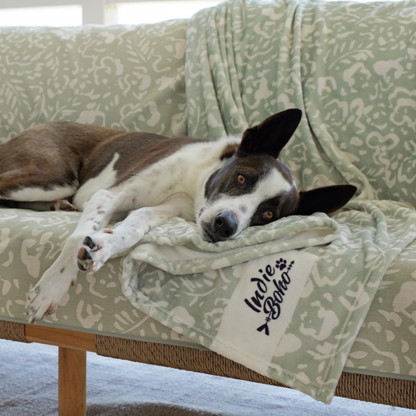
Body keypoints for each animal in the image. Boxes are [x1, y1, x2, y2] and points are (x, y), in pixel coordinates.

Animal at [0, 109, 356, 324]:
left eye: (267, 214)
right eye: (242, 178)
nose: (226, 226)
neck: (194, 181)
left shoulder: (162, 210)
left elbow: (132, 229)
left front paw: (101, 248)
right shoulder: (107, 195)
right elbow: (76, 237)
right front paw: (52, 287)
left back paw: (59, 208)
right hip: (51, 177)